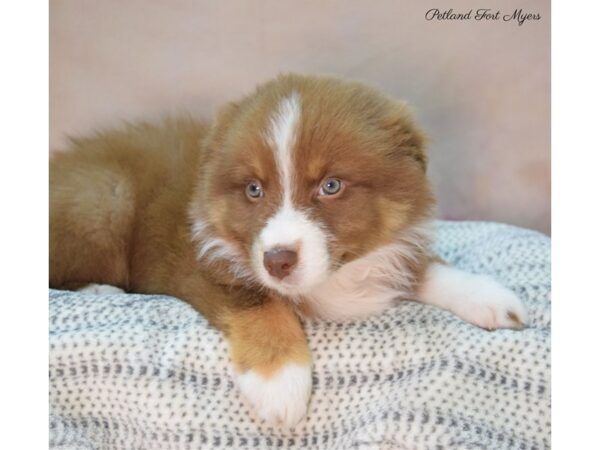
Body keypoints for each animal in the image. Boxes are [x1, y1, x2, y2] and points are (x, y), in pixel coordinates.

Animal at [51, 74, 528, 428]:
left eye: (331, 186)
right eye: (254, 190)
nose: (277, 261)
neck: (334, 277)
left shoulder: (387, 249)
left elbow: (424, 266)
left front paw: (488, 296)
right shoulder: (196, 261)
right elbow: (259, 301)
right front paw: (280, 382)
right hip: (103, 197)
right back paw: (99, 290)